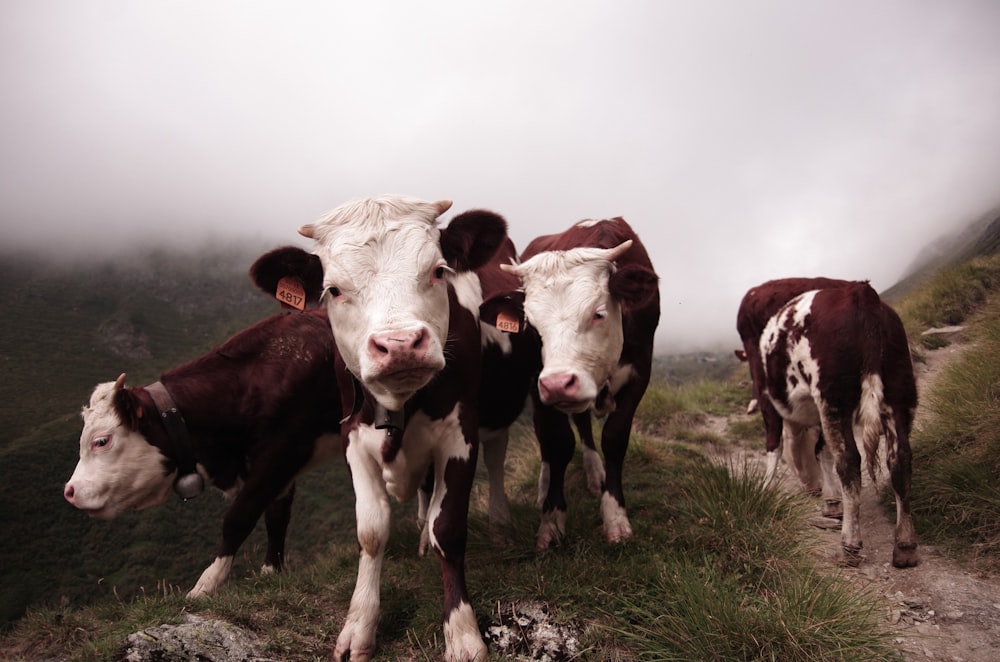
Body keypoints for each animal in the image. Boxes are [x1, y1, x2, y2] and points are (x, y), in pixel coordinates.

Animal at [246, 196, 504, 662]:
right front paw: (359, 627)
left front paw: (462, 633)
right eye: (334, 290)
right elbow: (370, 533)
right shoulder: (353, 437)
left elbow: (448, 527)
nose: (400, 345)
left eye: (438, 270)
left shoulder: (461, 432)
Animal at [480, 218, 660, 548]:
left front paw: (615, 517)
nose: (558, 383)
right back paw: (545, 486)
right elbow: (557, 443)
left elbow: (614, 438)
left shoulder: (640, 373)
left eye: (598, 314)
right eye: (531, 326)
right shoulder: (540, 384)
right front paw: (551, 521)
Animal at [756, 282, 920, 568]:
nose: (810, 485)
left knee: (850, 461)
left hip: (833, 397)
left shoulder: (769, 401)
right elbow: (821, 451)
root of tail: (860, 290)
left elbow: (774, 447)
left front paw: (766, 488)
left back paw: (849, 546)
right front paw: (831, 503)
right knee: (900, 459)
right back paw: (905, 546)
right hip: (900, 390)